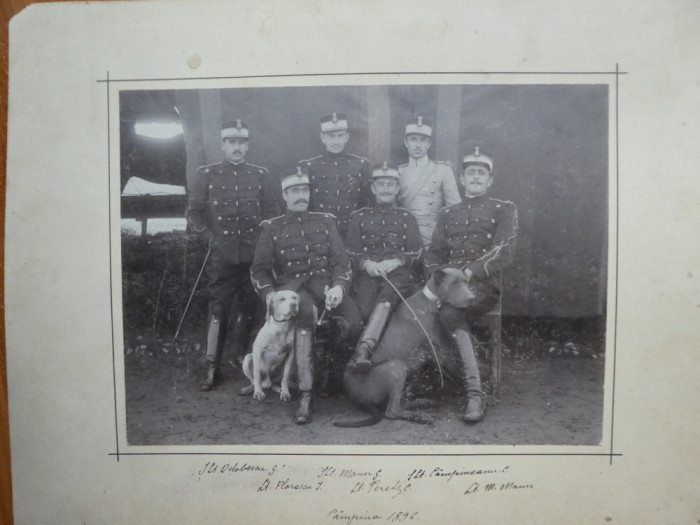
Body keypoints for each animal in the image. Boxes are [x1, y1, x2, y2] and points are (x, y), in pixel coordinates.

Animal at [334, 270, 476, 426]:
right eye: (454, 283)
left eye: (466, 282)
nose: (472, 298)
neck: (432, 301)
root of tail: (352, 395)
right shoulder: (440, 350)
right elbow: (457, 368)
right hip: (397, 367)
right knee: (392, 411)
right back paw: (419, 416)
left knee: (397, 405)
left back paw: (422, 403)